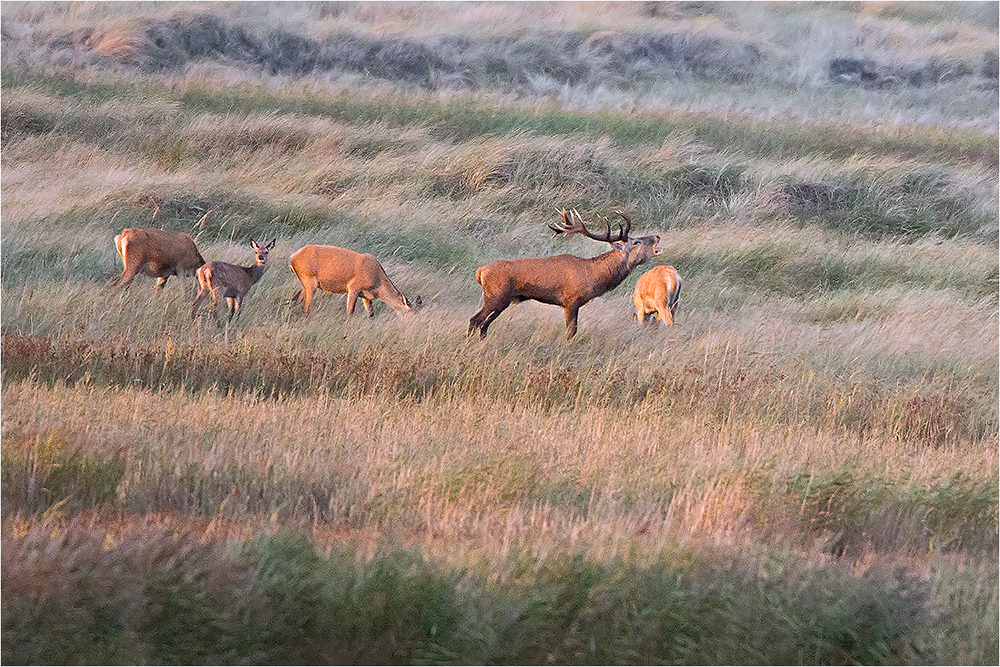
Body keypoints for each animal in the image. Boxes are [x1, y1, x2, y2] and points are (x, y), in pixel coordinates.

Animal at [290, 245, 418, 318]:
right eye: (411, 313)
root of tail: (293, 258)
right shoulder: (353, 288)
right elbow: (350, 312)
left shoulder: (366, 296)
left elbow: (371, 314)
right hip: (310, 283)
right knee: (306, 307)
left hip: (306, 285)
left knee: (295, 300)